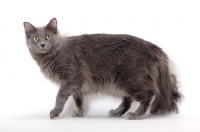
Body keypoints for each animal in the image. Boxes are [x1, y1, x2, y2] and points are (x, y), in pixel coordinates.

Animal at [22, 17, 182, 119]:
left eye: (48, 37)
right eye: (35, 38)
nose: (42, 44)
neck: (55, 53)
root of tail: (154, 48)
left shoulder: (71, 77)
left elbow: (60, 96)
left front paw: (55, 112)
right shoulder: (77, 84)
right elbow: (78, 99)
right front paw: (79, 113)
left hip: (130, 79)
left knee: (149, 94)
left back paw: (135, 115)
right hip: (122, 82)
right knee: (128, 100)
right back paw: (116, 112)